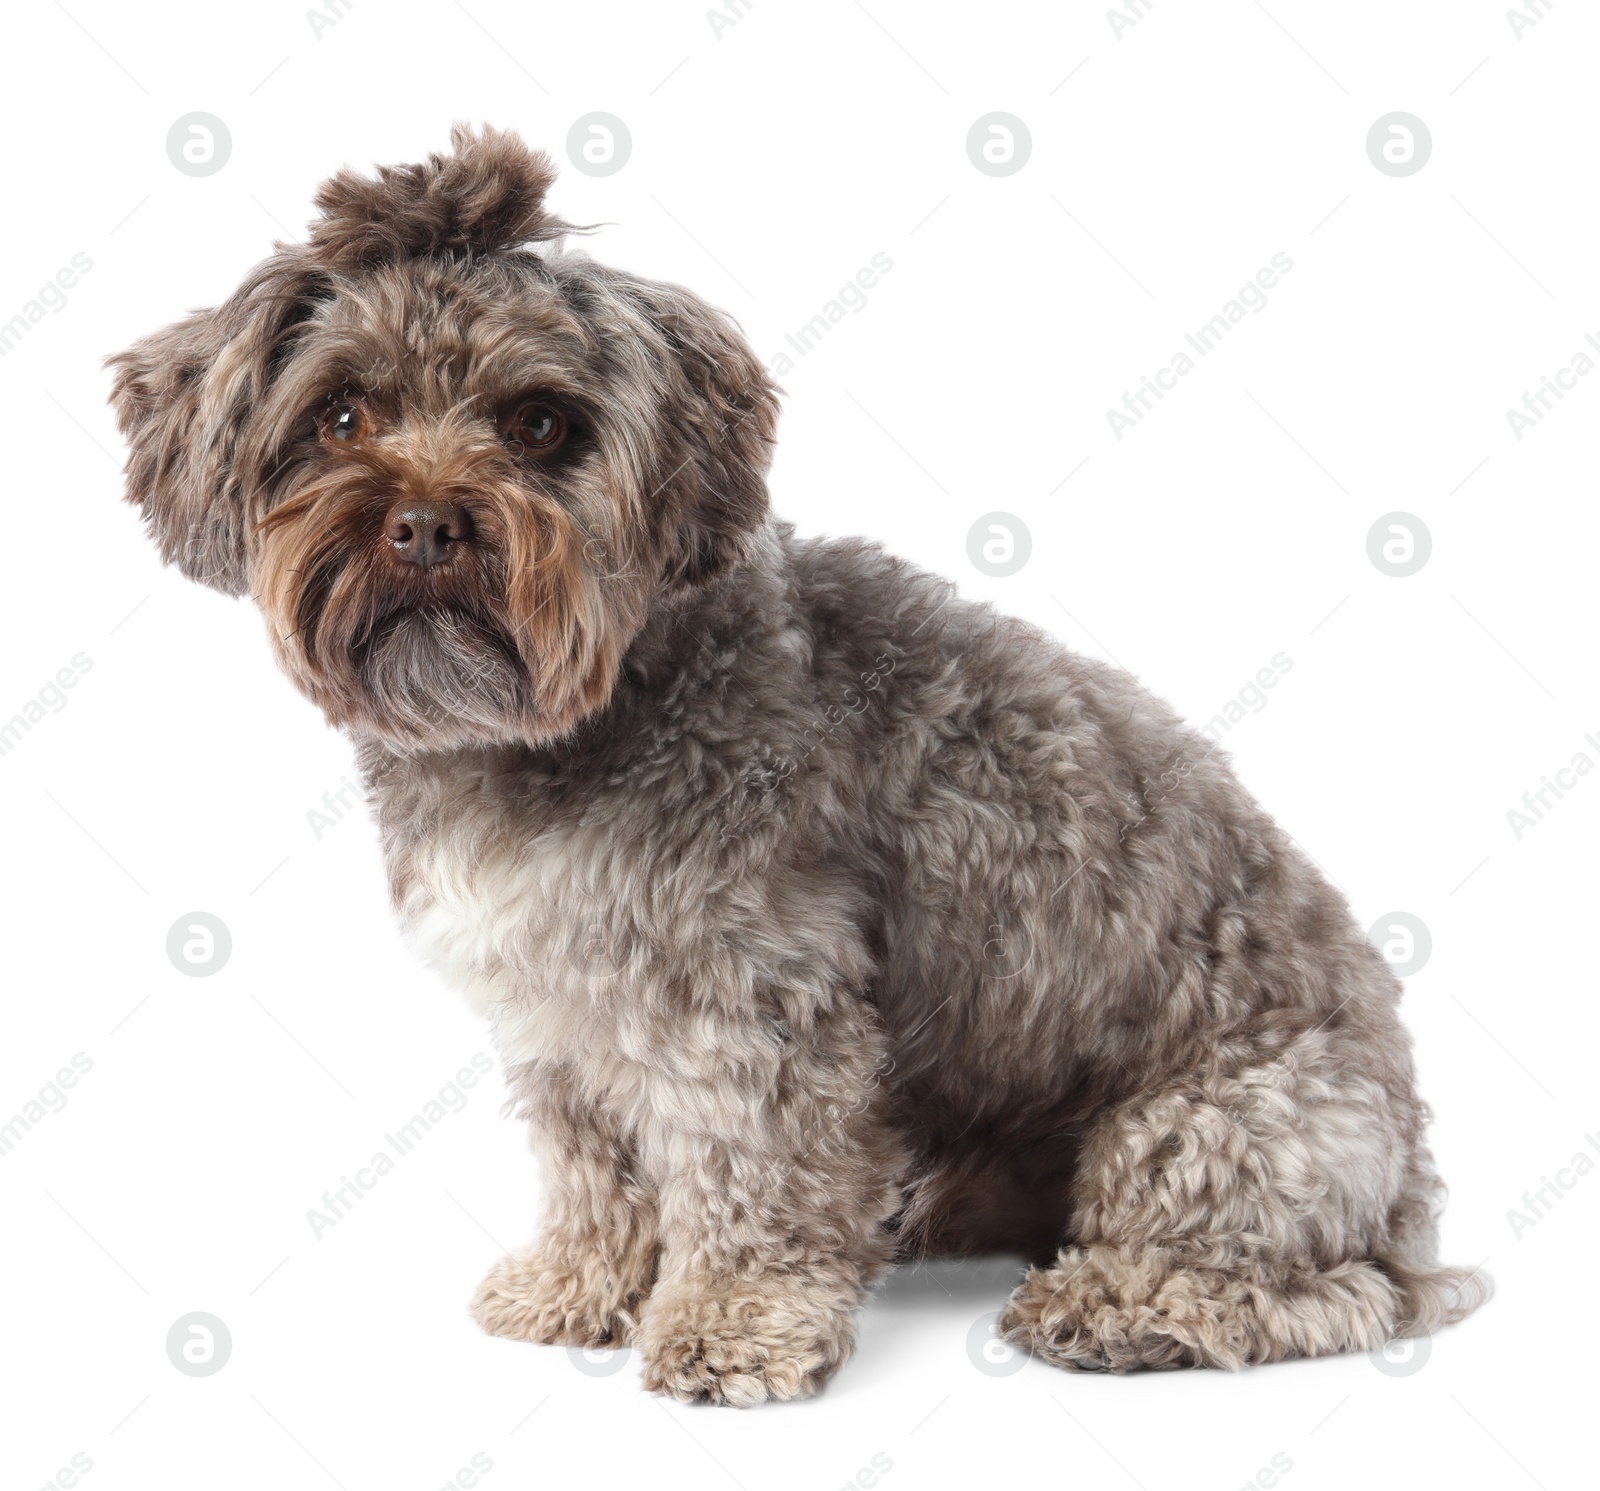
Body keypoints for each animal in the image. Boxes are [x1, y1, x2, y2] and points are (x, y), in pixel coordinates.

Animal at [109, 122, 1484, 1401]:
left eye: (540, 423)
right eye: (342, 413)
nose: (427, 524)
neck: (578, 714)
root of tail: (1414, 1175)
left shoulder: (752, 1003)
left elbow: (751, 1174)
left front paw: (729, 1322)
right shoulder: (562, 1013)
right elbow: (593, 1163)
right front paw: (578, 1285)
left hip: (1215, 1131)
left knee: (1331, 1292)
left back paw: (1113, 1304)